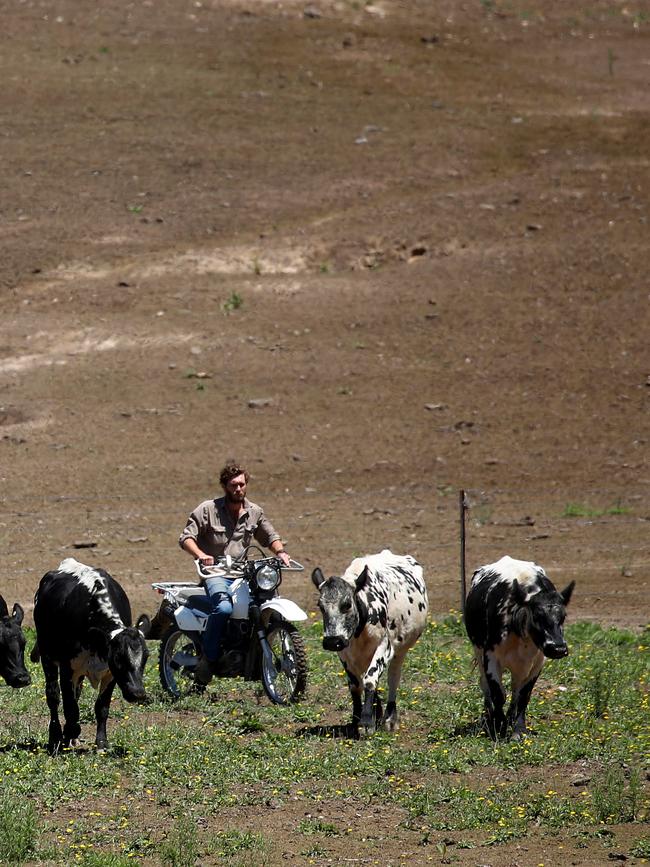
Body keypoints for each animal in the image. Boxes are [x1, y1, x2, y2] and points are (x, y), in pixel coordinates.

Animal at [33, 556, 149, 752]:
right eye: (118, 658)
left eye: (146, 658)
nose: (137, 693)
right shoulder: (68, 668)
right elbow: (71, 708)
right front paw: (69, 732)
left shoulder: (110, 674)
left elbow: (101, 707)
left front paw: (101, 743)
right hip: (47, 656)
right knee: (53, 697)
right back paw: (56, 737)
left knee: (75, 694)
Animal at [312, 552, 428, 736]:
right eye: (320, 606)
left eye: (347, 605)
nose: (332, 641)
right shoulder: (344, 653)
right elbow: (355, 685)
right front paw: (357, 719)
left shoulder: (385, 647)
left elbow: (370, 679)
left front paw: (366, 721)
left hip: (400, 651)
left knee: (393, 679)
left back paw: (390, 718)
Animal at [460, 556, 572, 740]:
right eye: (537, 616)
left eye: (563, 616)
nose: (558, 649)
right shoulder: (490, 657)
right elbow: (498, 694)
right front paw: (498, 725)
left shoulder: (537, 662)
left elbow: (523, 696)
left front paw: (518, 729)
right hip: (478, 651)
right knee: (486, 686)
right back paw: (488, 717)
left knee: (515, 690)